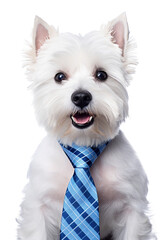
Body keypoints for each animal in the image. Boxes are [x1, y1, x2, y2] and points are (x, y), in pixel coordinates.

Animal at [17, 13, 156, 240]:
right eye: (59, 76)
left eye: (101, 75)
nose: (81, 96)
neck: (82, 143)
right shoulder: (38, 207)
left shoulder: (132, 208)